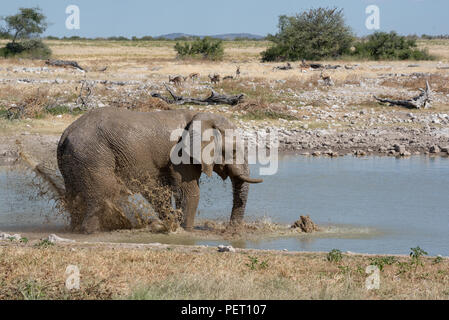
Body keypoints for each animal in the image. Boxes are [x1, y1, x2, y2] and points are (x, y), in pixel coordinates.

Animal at [56, 106, 260, 234]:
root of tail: (65, 134)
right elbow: (189, 192)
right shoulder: (180, 154)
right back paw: (92, 232)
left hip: (74, 160)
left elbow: (160, 192)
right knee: (104, 192)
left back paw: (75, 230)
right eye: (234, 151)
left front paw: (173, 226)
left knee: (74, 195)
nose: (231, 230)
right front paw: (186, 231)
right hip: (92, 155)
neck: (201, 116)